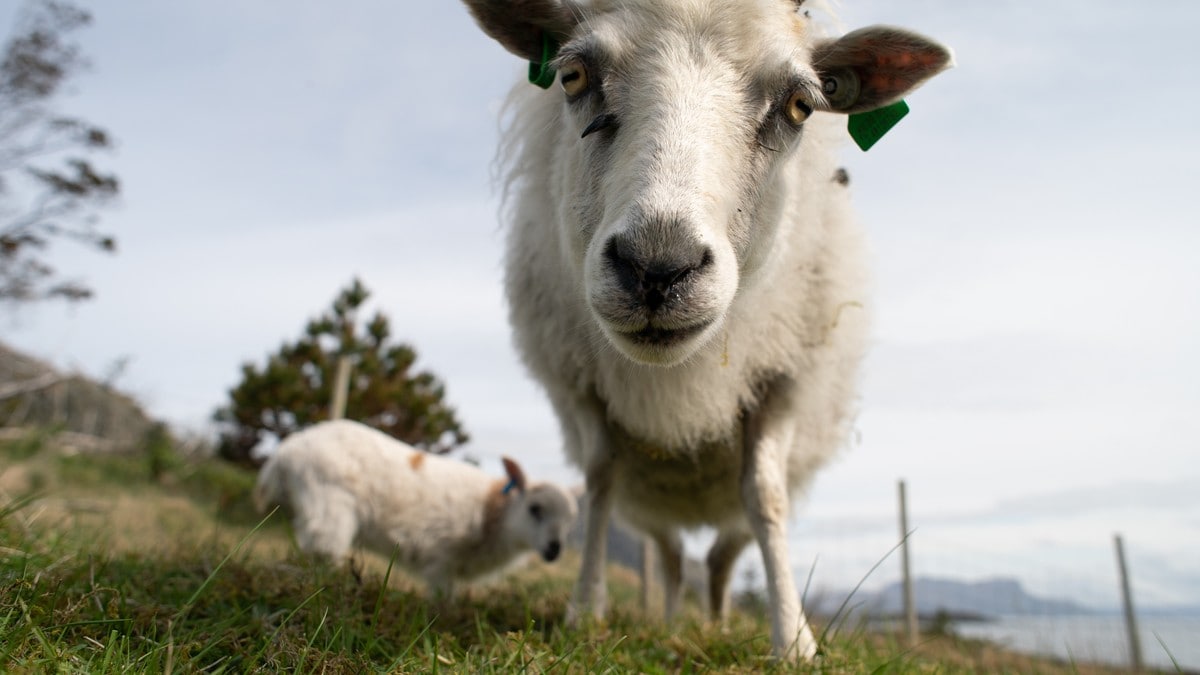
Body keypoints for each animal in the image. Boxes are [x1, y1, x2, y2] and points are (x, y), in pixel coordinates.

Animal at [252, 417, 576, 595]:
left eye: (571, 519)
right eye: (535, 508)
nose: (554, 550)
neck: (493, 513)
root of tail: (284, 452)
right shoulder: (442, 557)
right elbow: (443, 599)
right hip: (329, 503)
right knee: (321, 550)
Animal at [458, 0, 955, 658]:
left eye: (800, 105)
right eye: (572, 75)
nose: (656, 267)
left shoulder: (784, 381)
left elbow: (765, 497)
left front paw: (793, 641)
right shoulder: (581, 384)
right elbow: (599, 482)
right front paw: (584, 610)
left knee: (722, 553)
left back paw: (716, 621)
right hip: (653, 508)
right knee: (671, 559)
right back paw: (672, 619)